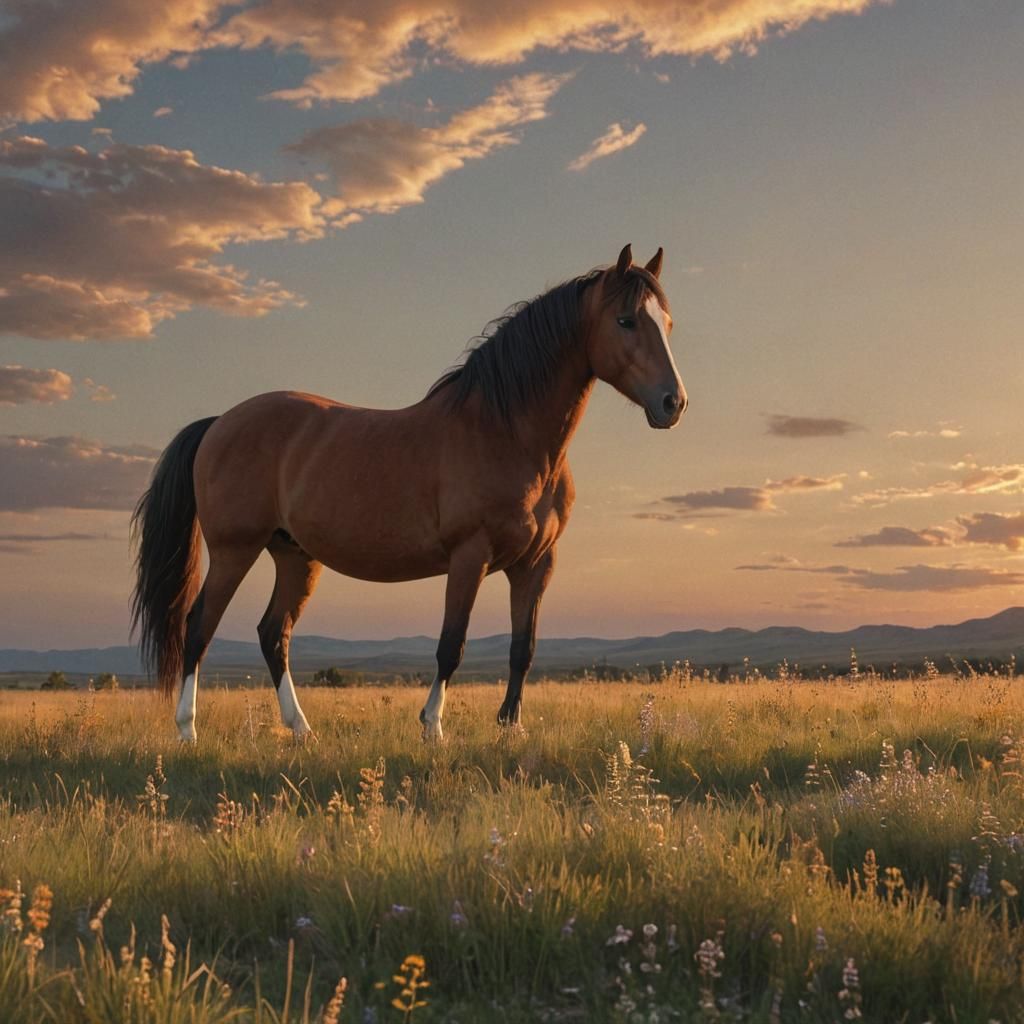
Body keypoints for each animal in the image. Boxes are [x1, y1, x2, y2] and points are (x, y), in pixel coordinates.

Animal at [131, 244, 687, 742]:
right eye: (626, 321)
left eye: (667, 323)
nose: (673, 403)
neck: (505, 432)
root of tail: (219, 422)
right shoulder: (469, 557)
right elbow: (451, 645)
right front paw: (433, 727)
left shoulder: (536, 564)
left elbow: (522, 648)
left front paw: (511, 727)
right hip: (234, 550)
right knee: (199, 627)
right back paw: (187, 730)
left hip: (294, 556)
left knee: (274, 635)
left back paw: (302, 730)